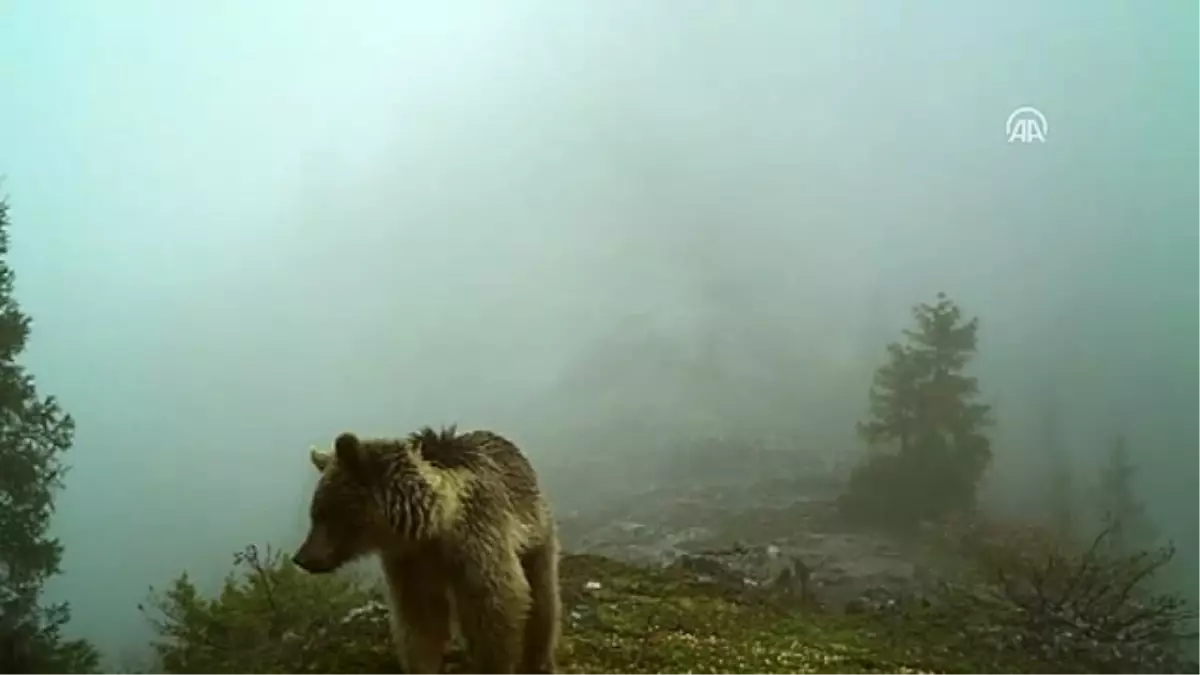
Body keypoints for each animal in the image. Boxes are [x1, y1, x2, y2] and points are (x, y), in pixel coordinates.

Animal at [292, 425, 559, 672]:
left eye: (327, 512)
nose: (301, 558)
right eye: (314, 513)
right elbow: (420, 621)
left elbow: (497, 608)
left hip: (536, 527)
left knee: (543, 595)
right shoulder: (411, 560)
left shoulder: (478, 539)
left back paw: (539, 658)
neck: (433, 526)